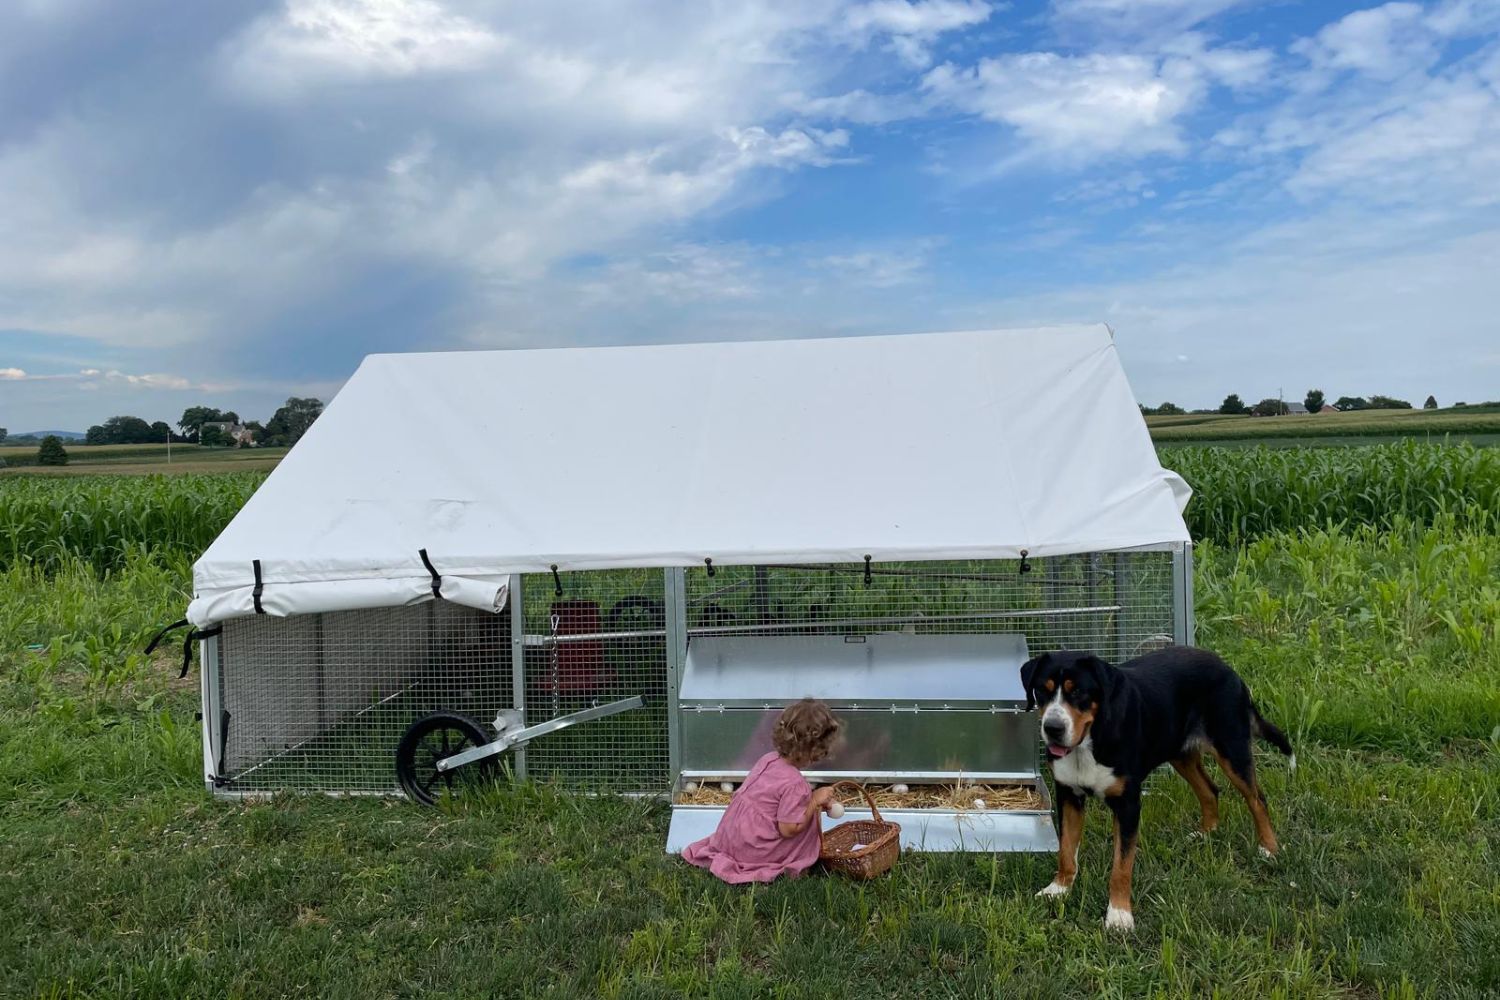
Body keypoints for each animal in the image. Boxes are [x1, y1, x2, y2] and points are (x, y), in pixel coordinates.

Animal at [1026, 650, 1296, 929]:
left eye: (1078, 691)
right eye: (1042, 690)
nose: (1053, 728)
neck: (1087, 743)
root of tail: (1225, 666)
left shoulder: (1128, 804)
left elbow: (1121, 866)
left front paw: (1119, 915)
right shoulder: (1069, 794)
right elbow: (1067, 849)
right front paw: (1059, 889)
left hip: (1231, 748)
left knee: (1257, 799)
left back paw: (1269, 849)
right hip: (1181, 753)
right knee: (1210, 790)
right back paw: (1205, 833)